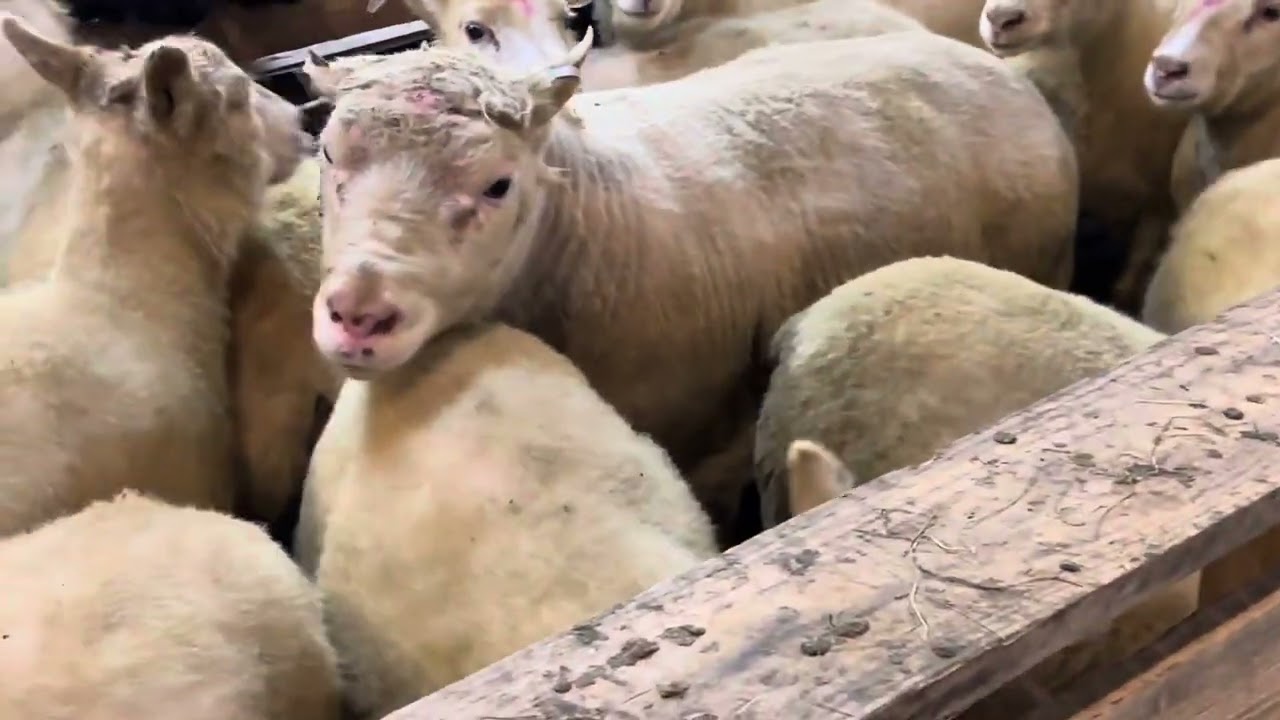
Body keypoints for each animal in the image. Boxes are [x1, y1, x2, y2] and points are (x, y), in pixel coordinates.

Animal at [297, 27, 1077, 546]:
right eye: (329, 153)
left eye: (497, 185)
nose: (358, 315)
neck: (590, 218)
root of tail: (993, 68)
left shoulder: (713, 443)